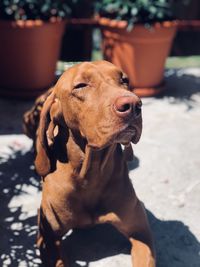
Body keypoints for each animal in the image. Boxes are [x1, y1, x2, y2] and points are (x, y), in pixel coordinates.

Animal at [25, 61, 156, 267]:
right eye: (81, 85)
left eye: (124, 80)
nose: (133, 104)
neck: (89, 175)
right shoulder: (47, 237)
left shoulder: (141, 231)